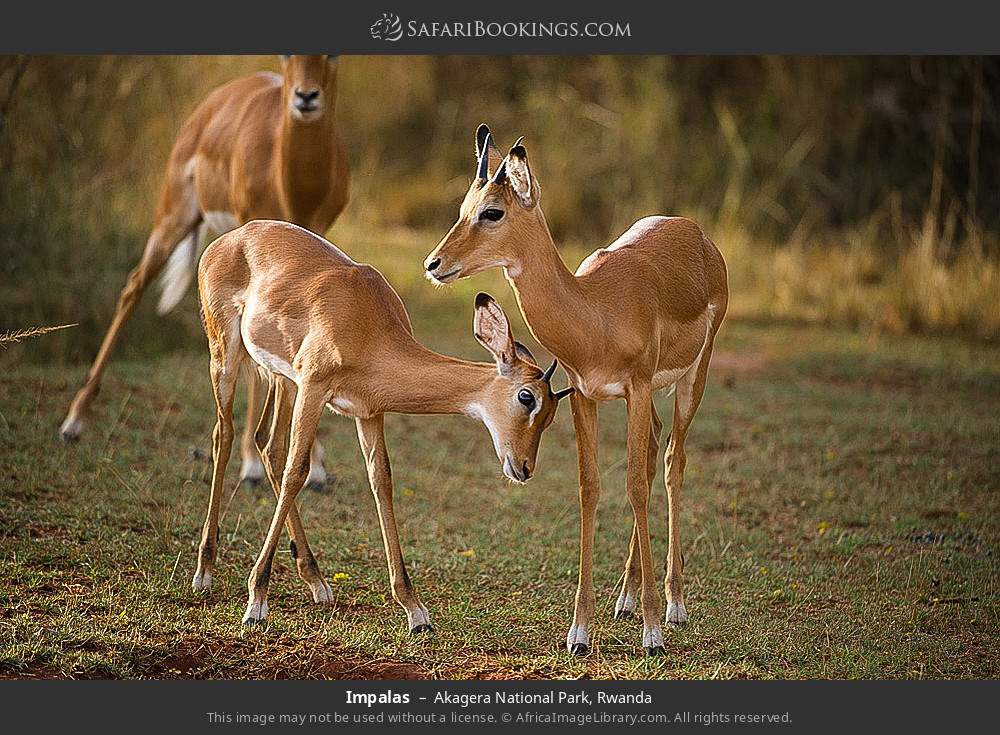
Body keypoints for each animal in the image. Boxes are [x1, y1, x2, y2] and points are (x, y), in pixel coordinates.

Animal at [59, 55, 349, 488]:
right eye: (287, 55)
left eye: (334, 55)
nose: (306, 97)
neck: (293, 188)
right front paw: (251, 463)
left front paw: (314, 466)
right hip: (174, 216)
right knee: (133, 288)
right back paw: (73, 423)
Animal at [196, 220, 571, 631]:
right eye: (527, 397)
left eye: (552, 413)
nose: (524, 467)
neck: (370, 331)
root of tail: (234, 236)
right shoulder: (314, 388)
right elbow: (298, 472)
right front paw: (256, 601)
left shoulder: (368, 412)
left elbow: (382, 481)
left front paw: (415, 610)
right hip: (227, 357)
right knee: (224, 436)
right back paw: (205, 573)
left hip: (282, 380)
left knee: (268, 444)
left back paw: (316, 580)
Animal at [424, 125, 729, 656]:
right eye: (464, 206)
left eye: (492, 211)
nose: (434, 263)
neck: (595, 310)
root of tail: (697, 233)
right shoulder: (586, 396)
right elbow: (591, 489)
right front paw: (580, 633)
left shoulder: (637, 386)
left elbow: (634, 485)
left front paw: (652, 634)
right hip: (645, 401)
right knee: (654, 449)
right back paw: (625, 599)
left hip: (693, 377)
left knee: (673, 461)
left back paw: (673, 607)